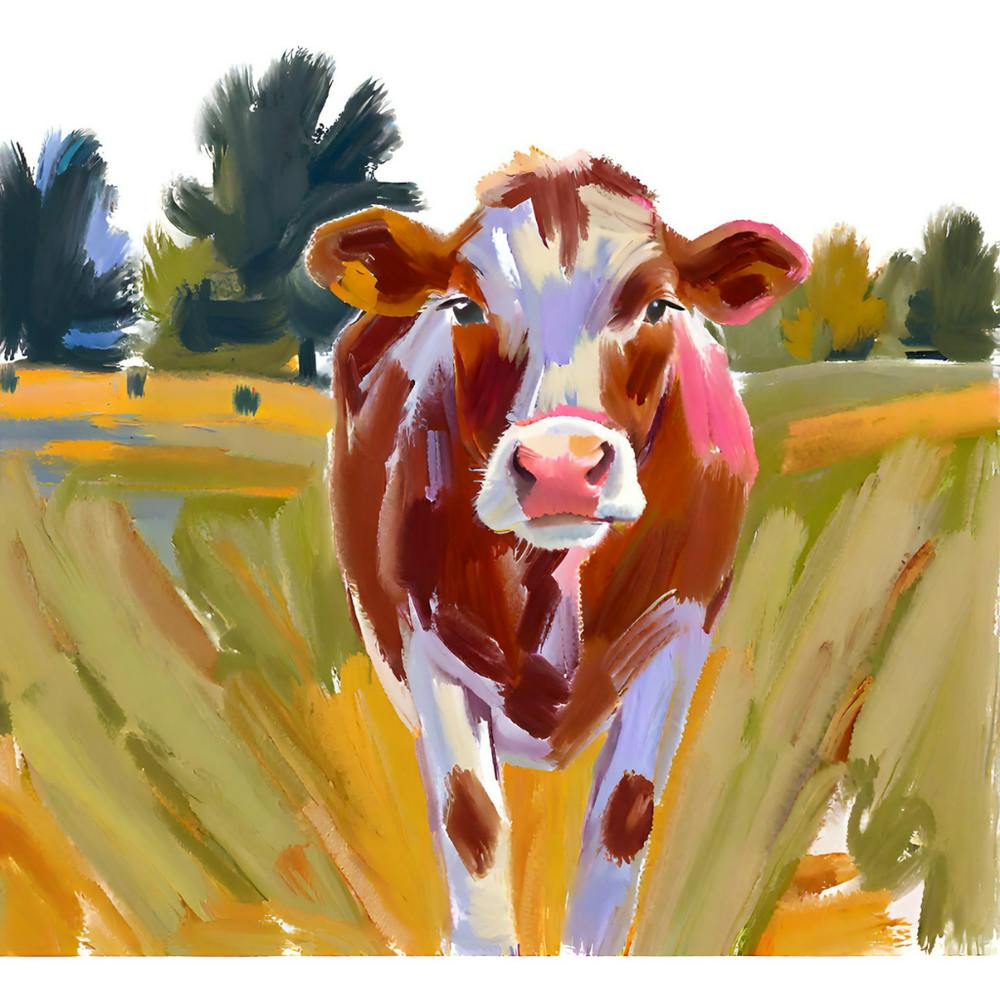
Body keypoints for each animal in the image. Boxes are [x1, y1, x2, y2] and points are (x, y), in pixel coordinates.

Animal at [305, 150, 808, 955]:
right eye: (466, 307)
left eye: (658, 307)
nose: (562, 466)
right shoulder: (428, 648)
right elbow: (472, 822)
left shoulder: (676, 635)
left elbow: (623, 821)